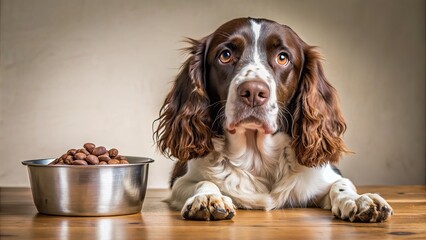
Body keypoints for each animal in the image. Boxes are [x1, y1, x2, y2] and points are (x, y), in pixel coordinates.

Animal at [154, 17, 392, 222]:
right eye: (225, 55)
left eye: (283, 57)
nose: (253, 92)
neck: (257, 156)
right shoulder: (181, 181)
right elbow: (202, 182)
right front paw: (209, 197)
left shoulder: (324, 175)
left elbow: (342, 184)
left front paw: (360, 200)